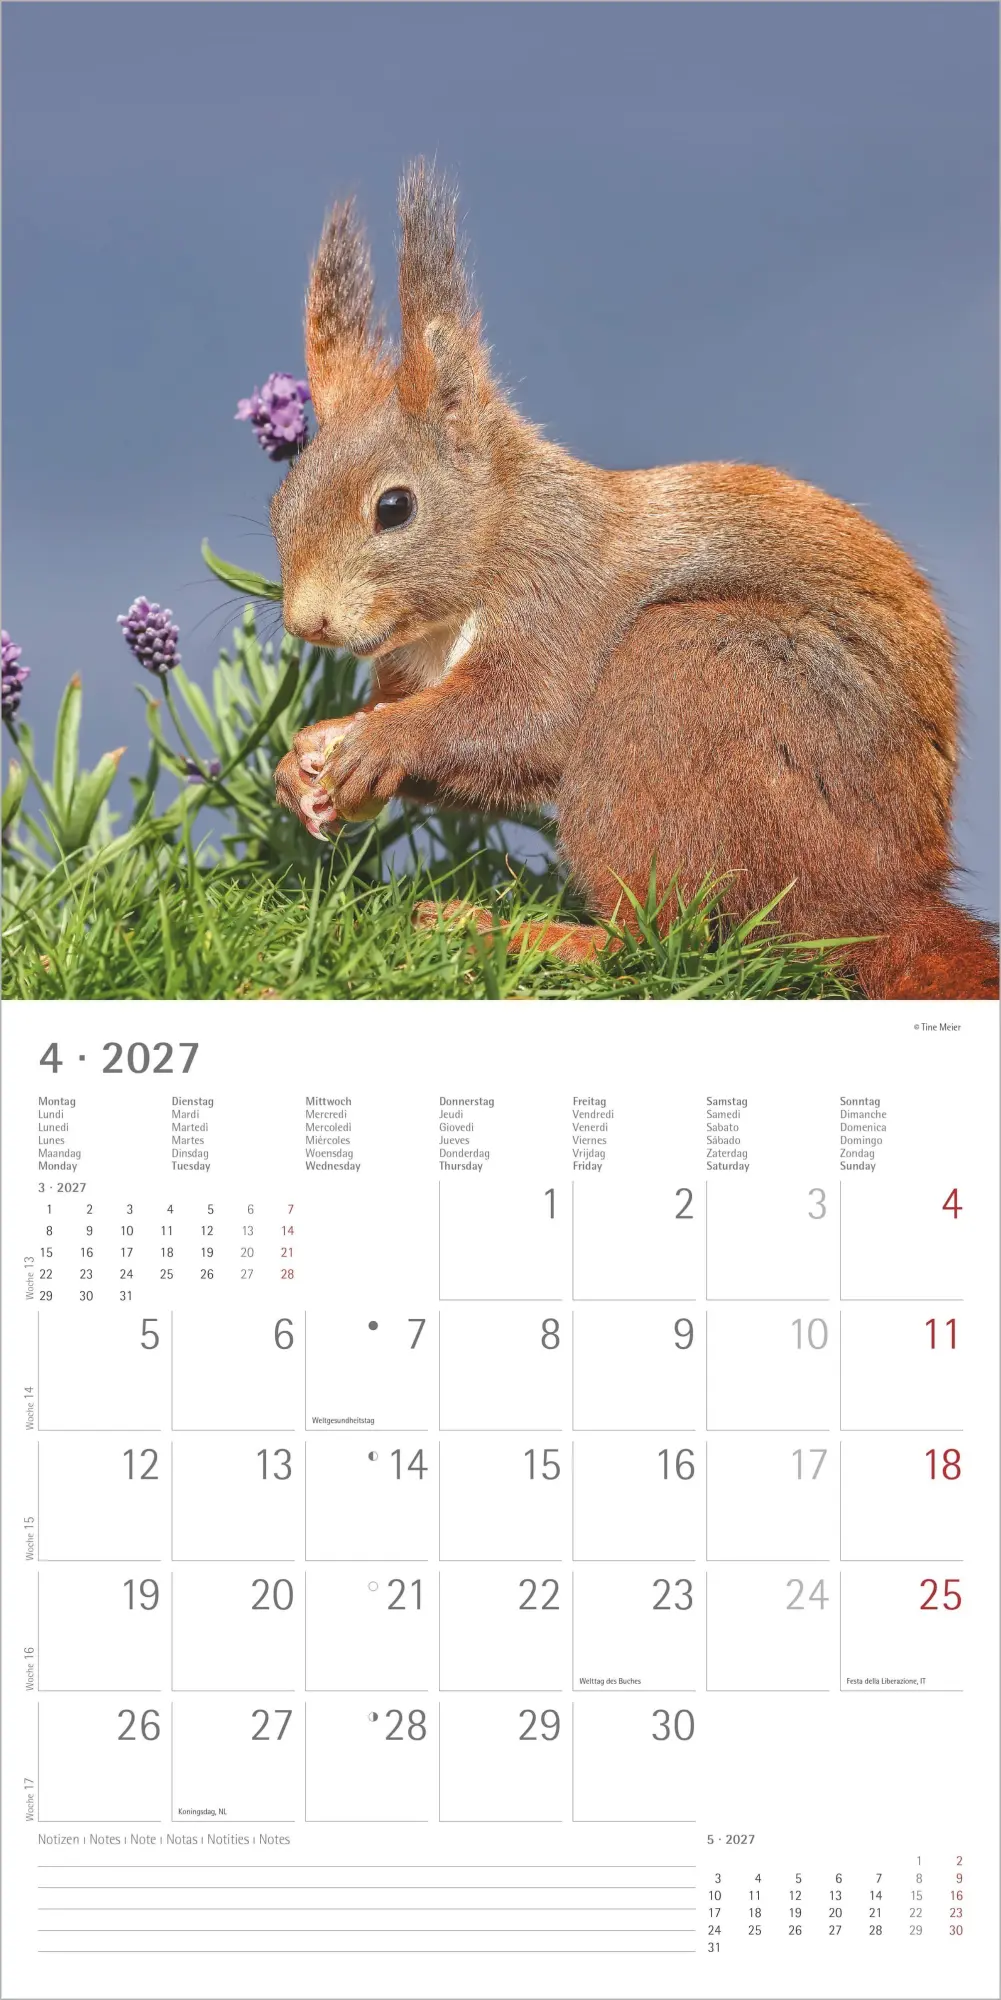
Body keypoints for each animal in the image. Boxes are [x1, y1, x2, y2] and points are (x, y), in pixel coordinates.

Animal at [273, 161, 998, 1000]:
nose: (308, 623)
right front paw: (307, 757)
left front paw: (380, 740)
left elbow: (526, 715)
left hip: (682, 678)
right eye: (281, 501)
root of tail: (882, 899)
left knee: (654, 942)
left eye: (394, 507)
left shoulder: (562, 601)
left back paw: (509, 932)